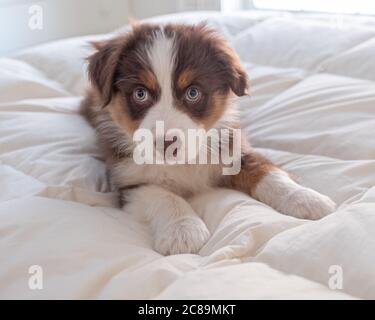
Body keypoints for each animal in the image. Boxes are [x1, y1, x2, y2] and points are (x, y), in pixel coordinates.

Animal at [81, 23, 336, 255]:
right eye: (140, 93)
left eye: (193, 92)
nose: (166, 144)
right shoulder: (127, 179)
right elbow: (164, 195)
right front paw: (182, 230)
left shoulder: (233, 149)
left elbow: (268, 172)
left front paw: (304, 198)